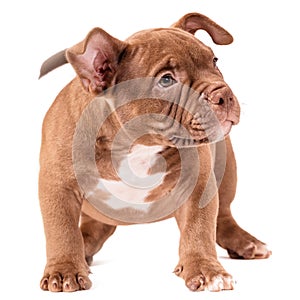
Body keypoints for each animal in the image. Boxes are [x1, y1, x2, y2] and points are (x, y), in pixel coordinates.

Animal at [38, 12, 270, 292]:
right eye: (166, 79)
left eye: (214, 61)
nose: (223, 94)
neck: (135, 143)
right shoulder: (58, 187)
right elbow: (62, 231)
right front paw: (64, 270)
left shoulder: (199, 185)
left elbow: (199, 227)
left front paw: (206, 269)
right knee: (92, 229)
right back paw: (84, 250)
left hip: (227, 169)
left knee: (222, 216)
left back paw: (246, 242)